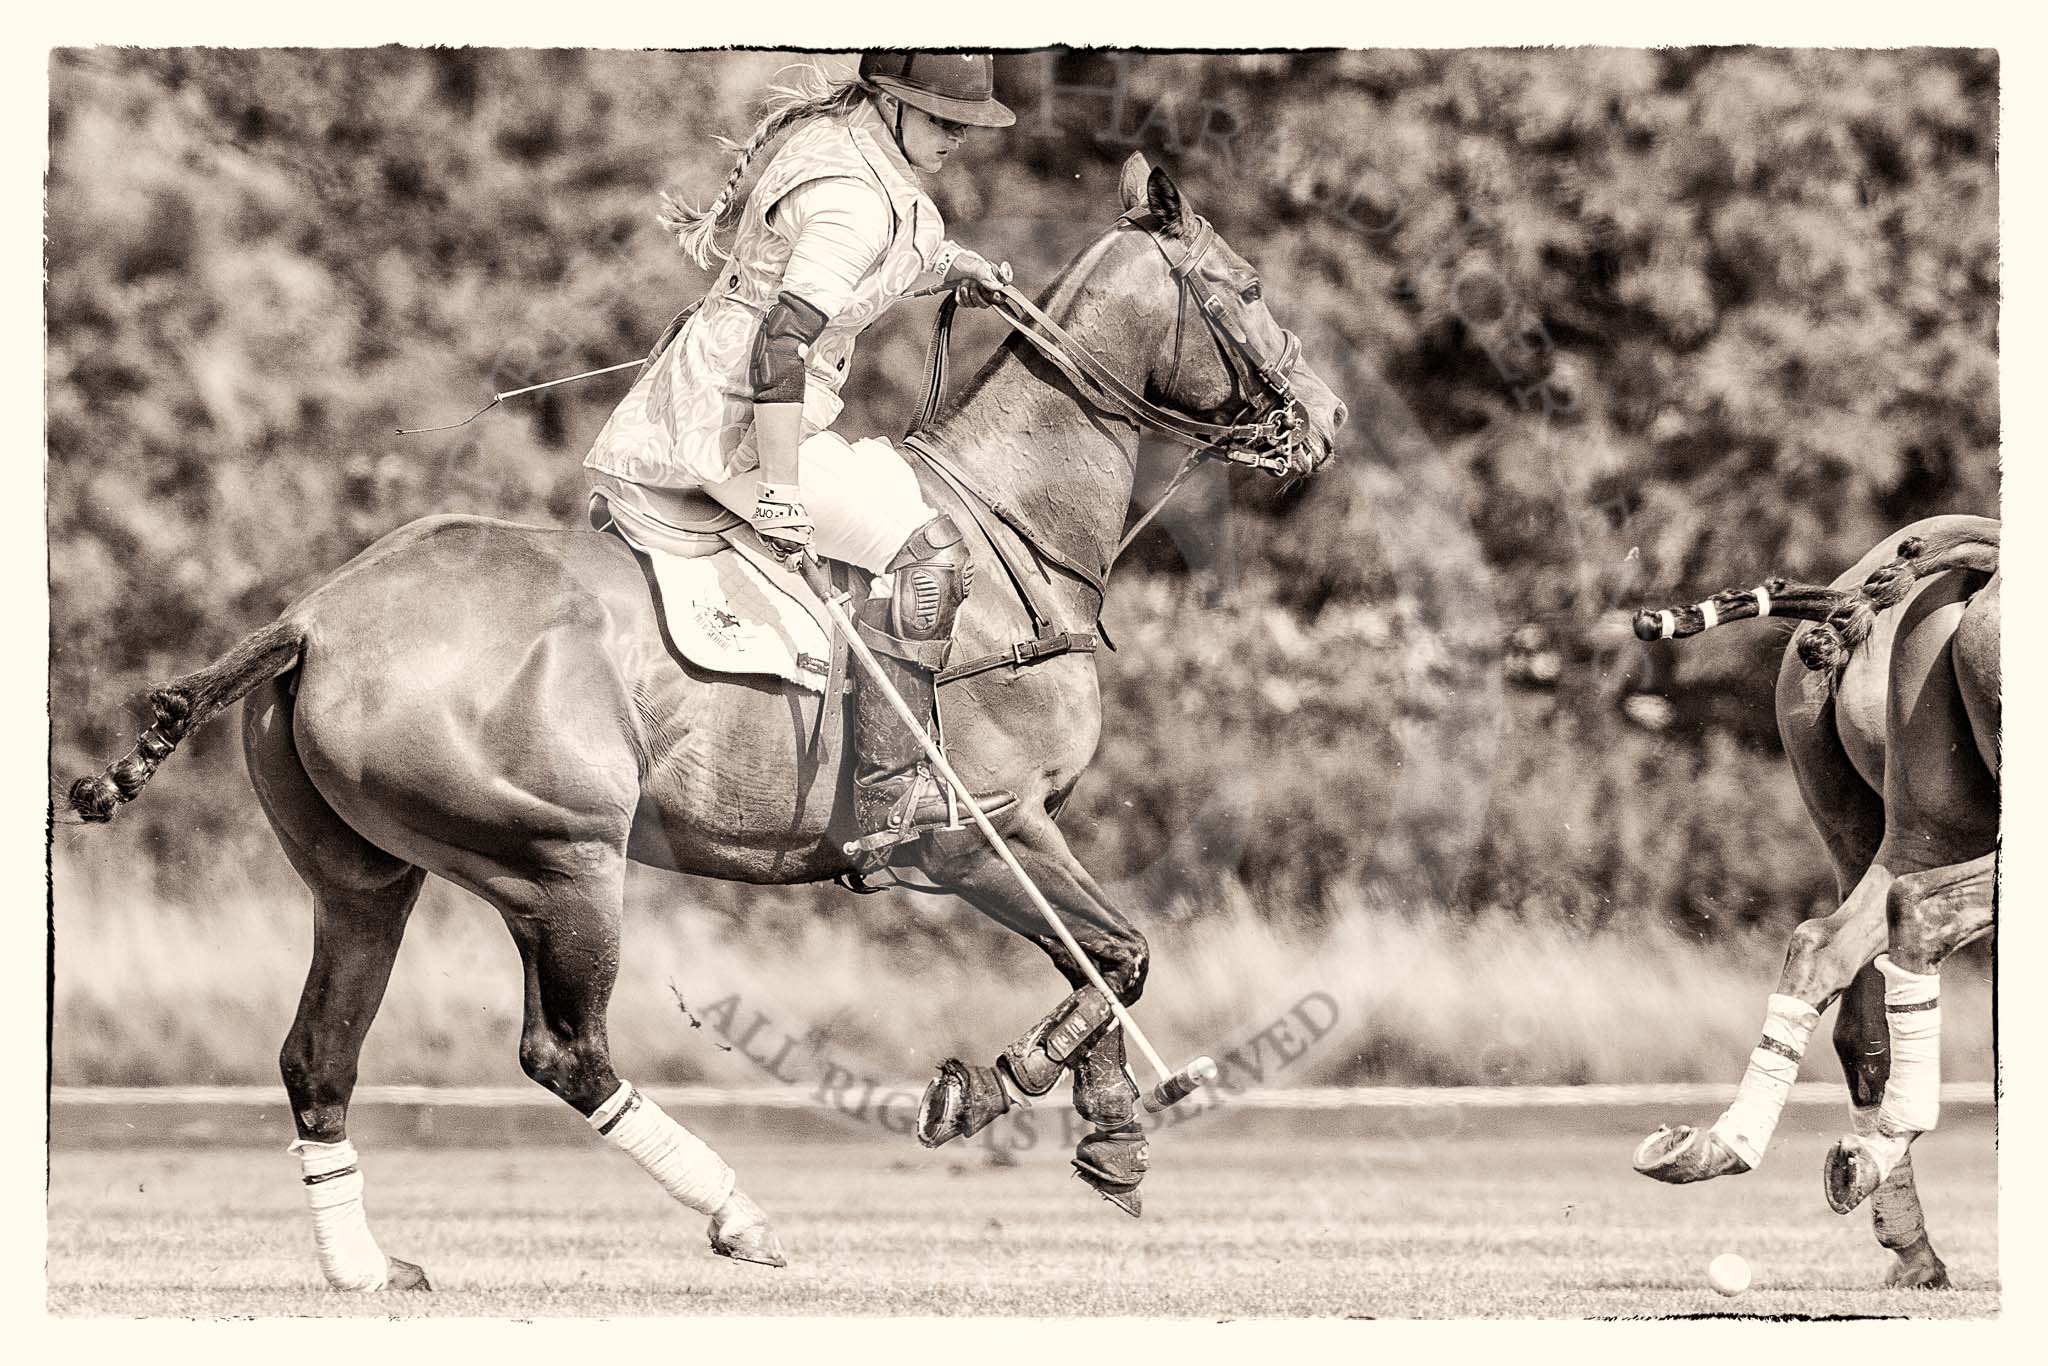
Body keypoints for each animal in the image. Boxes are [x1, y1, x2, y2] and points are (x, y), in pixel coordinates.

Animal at [59, 157, 1343, 1294]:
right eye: (1245, 286)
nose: (1325, 417)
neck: (1008, 529)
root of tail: (311, 618)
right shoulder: (974, 830)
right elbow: (1116, 954)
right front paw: (996, 1087)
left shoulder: (1016, 835)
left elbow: (1098, 956)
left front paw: (1110, 1131)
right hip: (558, 858)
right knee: (563, 1051)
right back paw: (739, 1212)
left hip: (365, 876)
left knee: (319, 1054)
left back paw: (368, 1267)